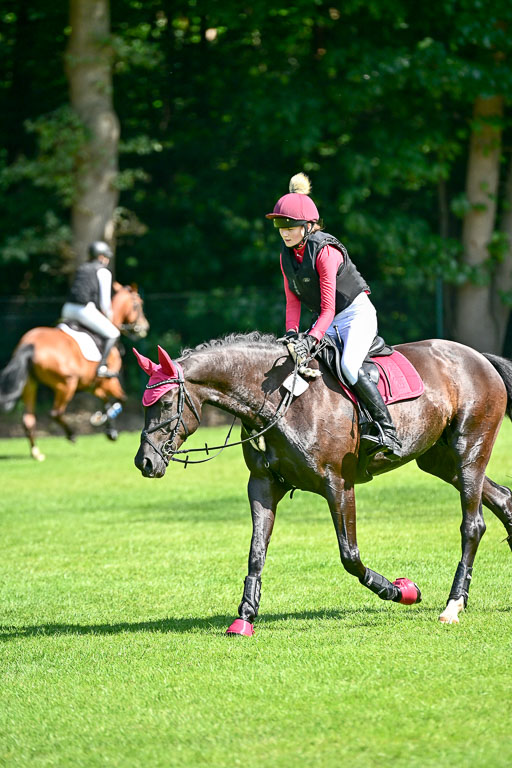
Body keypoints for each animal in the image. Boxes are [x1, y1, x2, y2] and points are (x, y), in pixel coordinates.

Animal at [0, 283, 149, 460]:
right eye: (138, 304)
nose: (145, 327)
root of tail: (30, 344)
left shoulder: (93, 385)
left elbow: (105, 400)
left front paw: (109, 429)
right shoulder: (109, 381)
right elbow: (121, 399)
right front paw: (102, 420)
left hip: (31, 384)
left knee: (28, 419)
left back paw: (36, 453)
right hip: (66, 385)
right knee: (56, 412)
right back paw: (71, 435)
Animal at [133, 332, 512, 634]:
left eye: (165, 402)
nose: (144, 462)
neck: (280, 402)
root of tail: (478, 357)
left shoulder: (338, 484)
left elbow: (350, 556)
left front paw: (402, 590)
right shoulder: (262, 485)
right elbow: (256, 552)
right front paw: (244, 618)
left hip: (470, 451)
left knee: (473, 524)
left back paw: (453, 605)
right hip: (438, 460)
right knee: (503, 499)